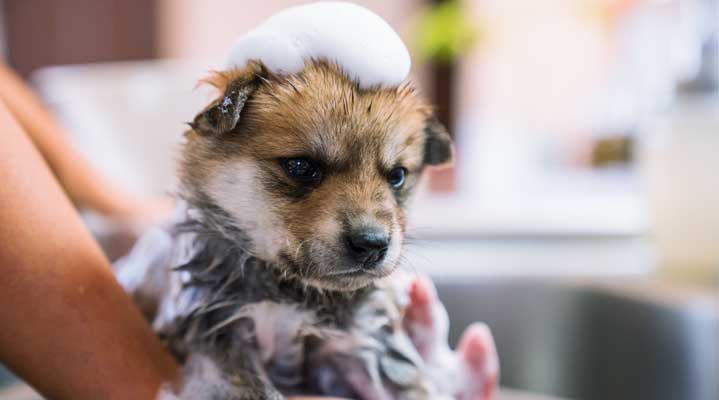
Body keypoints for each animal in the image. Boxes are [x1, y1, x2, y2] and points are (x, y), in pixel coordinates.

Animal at [118, 60, 498, 400]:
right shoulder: (215, 335)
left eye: (397, 176)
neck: (291, 292)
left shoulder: (361, 343)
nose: (373, 244)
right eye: (301, 166)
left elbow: (409, 386)